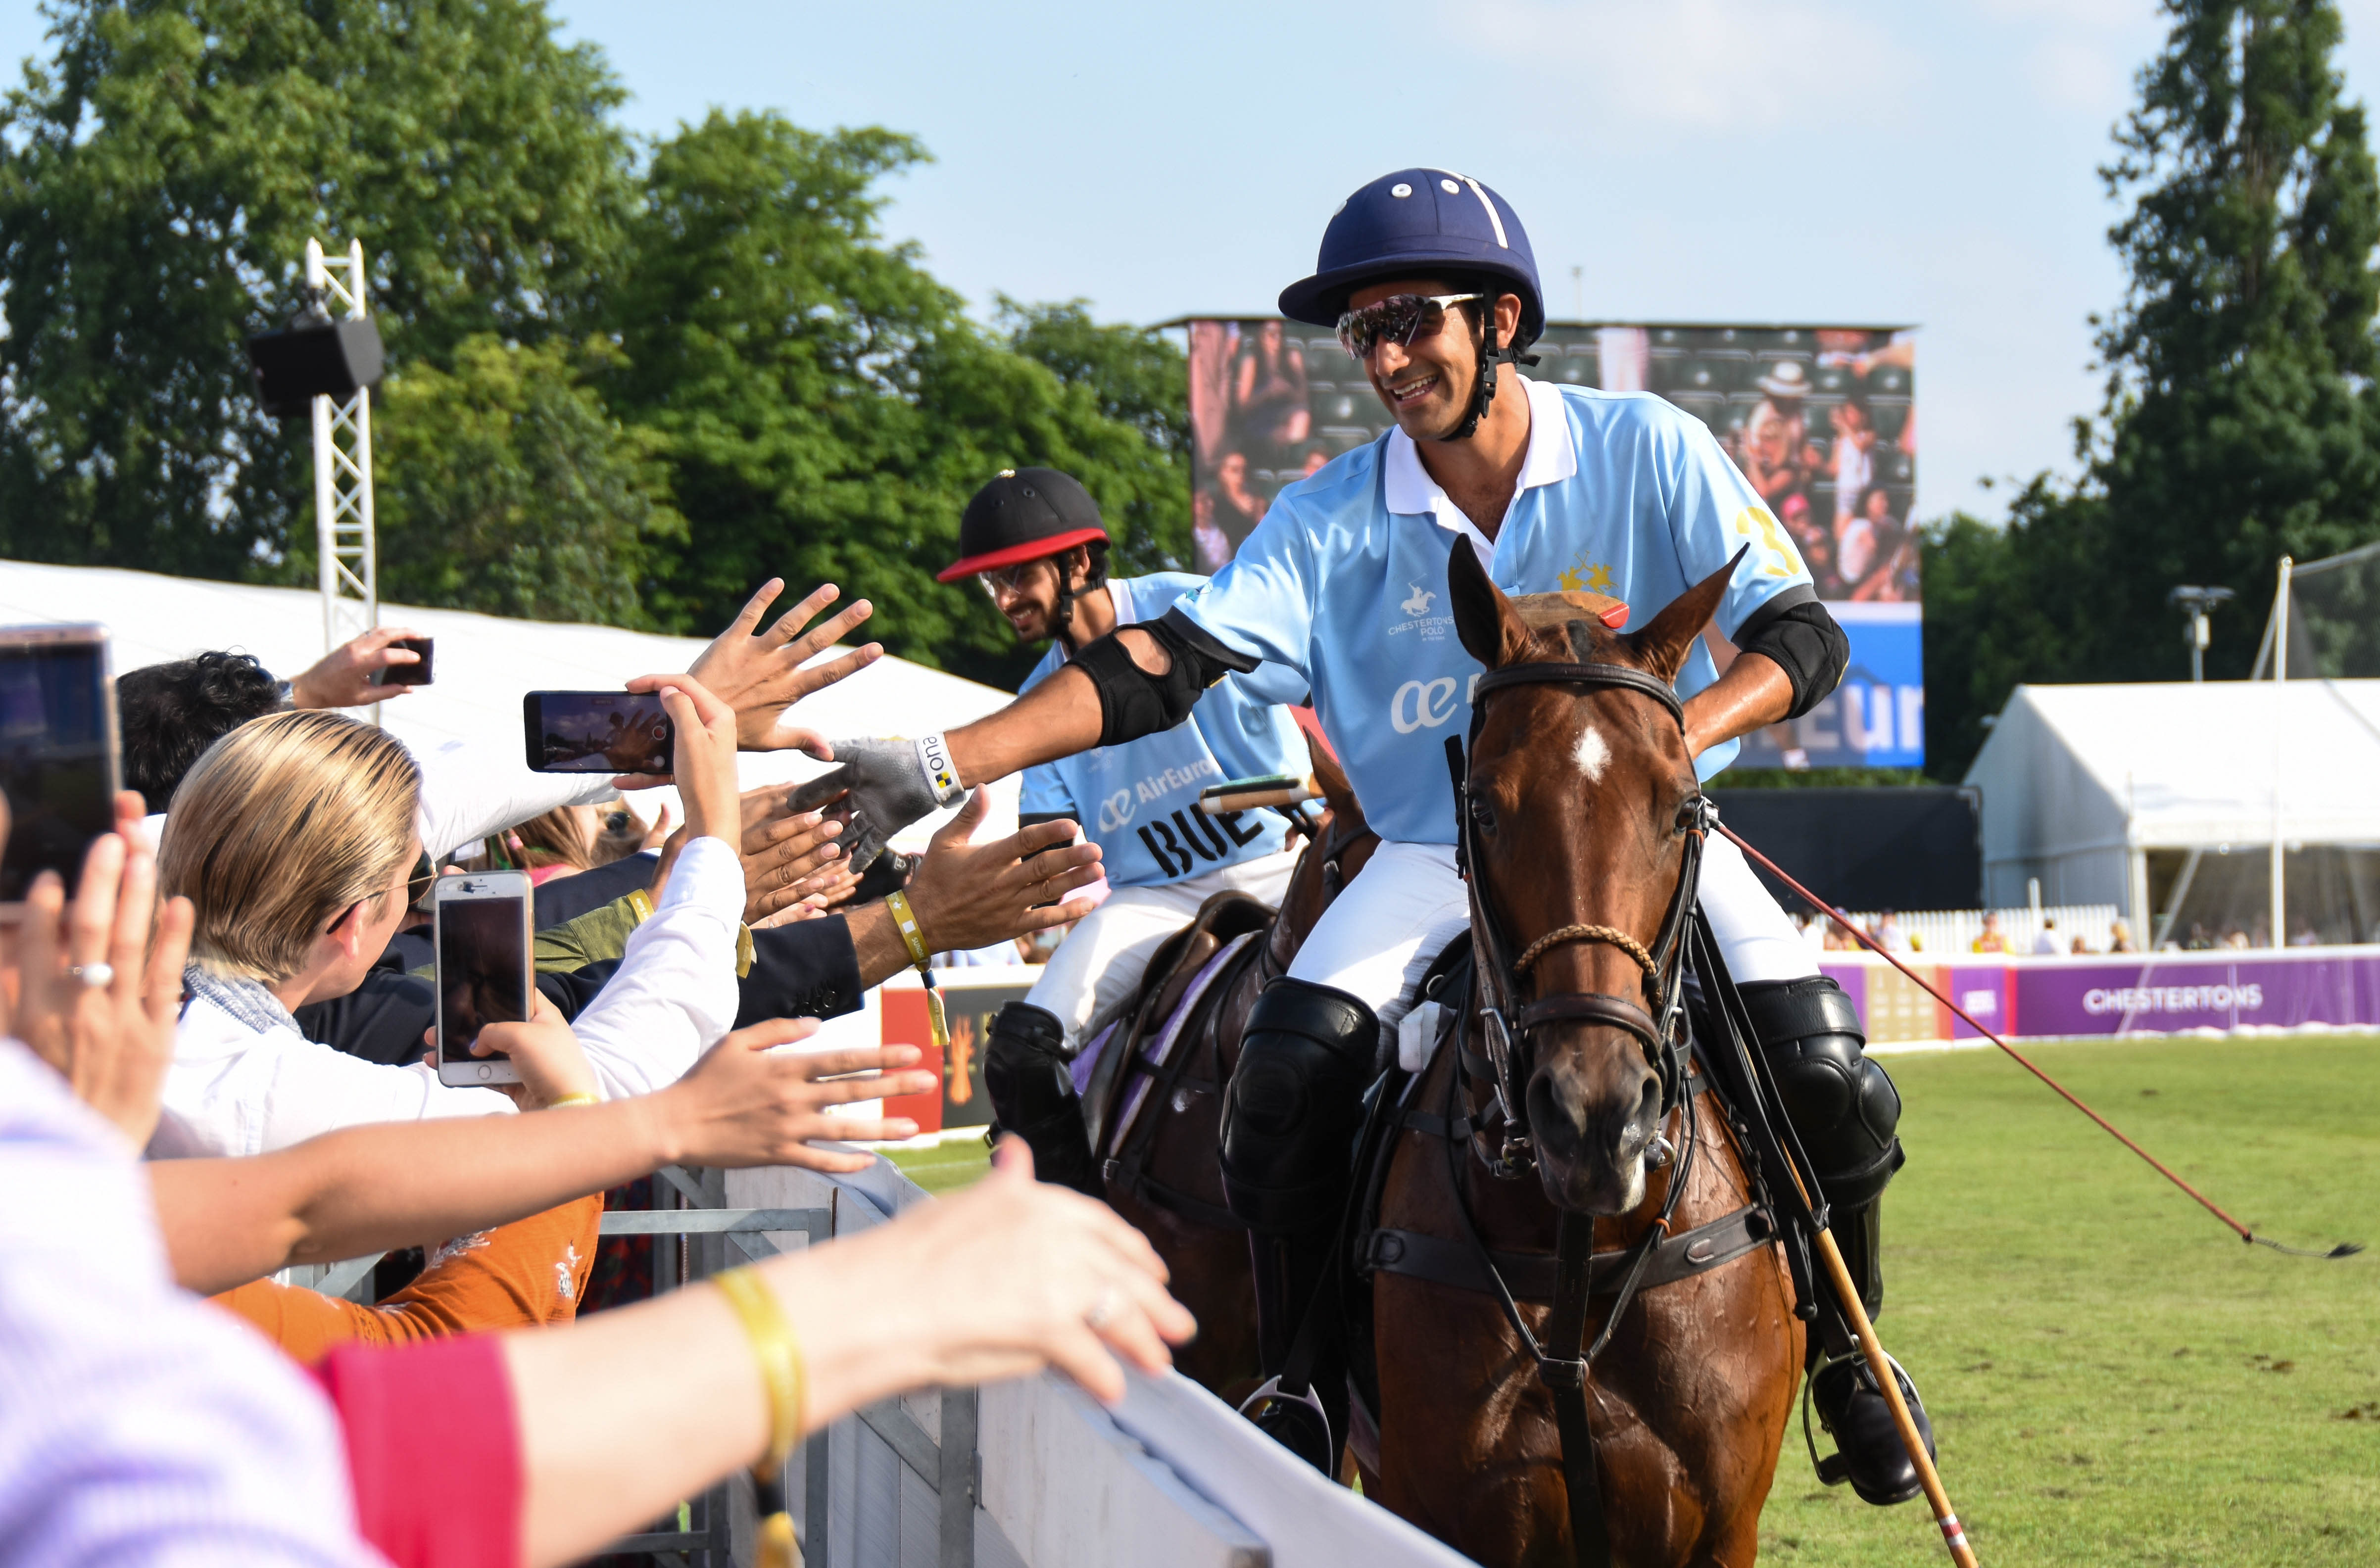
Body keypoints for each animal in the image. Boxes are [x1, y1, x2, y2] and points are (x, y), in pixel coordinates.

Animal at [1359, 551, 1804, 1567]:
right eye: (1481, 806)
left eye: (1682, 810)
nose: (1594, 1119)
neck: (1576, 1250)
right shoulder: (1437, 1511)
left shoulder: (1725, 1527)